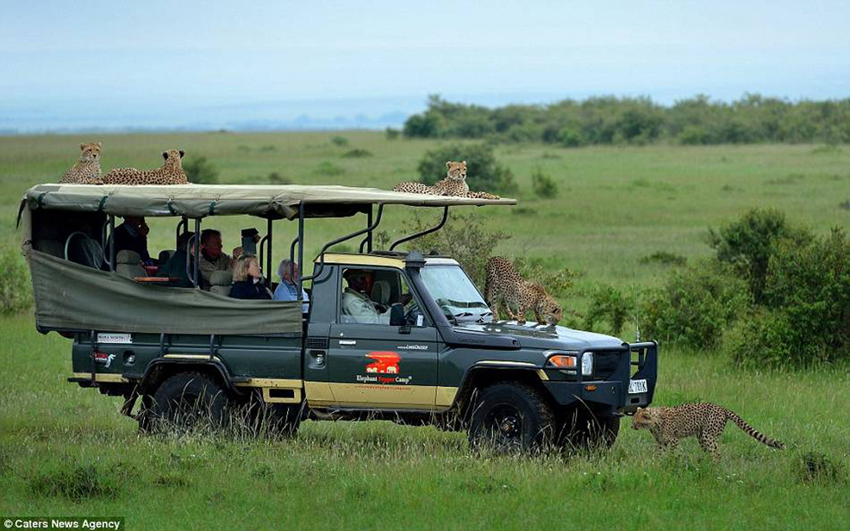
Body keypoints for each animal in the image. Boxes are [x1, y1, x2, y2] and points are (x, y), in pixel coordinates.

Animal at [632, 403, 785, 460]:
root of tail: (722, 408)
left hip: (708, 435)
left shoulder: (674, 439)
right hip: (701, 436)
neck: (655, 421)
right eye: (633, 420)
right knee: (710, 452)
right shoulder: (661, 443)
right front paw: (659, 463)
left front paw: (672, 461)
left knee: (717, 453)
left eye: (637, 422)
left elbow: (673, 452)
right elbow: (660, 454)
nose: (632, 426)